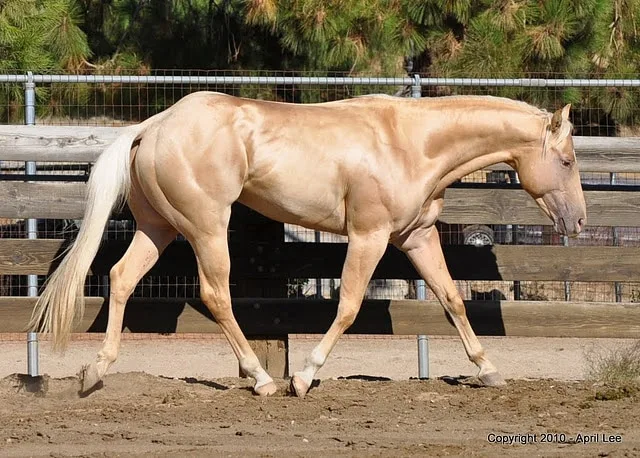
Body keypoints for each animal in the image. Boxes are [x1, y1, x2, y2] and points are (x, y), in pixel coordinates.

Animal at [32, 90, 588, 398]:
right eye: (565, 161)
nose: (578, 221)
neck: (409, 143)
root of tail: (154, 125)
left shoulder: (417, 237)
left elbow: (452, 300)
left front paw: (490, 371)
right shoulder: (369, 237)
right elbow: (348, 306)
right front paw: (303, 378)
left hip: (159, 228)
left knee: (121, 277)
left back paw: (94, 373)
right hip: (206, 228)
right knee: (216, 295)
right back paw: (261, 379)